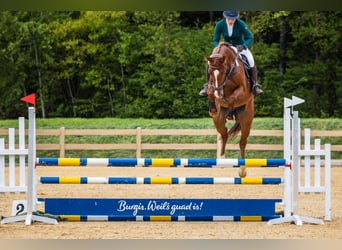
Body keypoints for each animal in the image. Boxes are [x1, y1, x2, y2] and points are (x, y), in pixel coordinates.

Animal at [203, 41, 254, 176]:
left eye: (223, 71)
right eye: (210, 71)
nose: (218, 92)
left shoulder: (242, 90)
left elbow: (232, 98)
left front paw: (226, 102)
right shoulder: (212, 85)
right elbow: (209, 91)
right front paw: (214, 104)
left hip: (246, 119)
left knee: (242, 142)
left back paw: (242, 170)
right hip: (218, 120)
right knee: (224, 134)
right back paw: (222, 158)